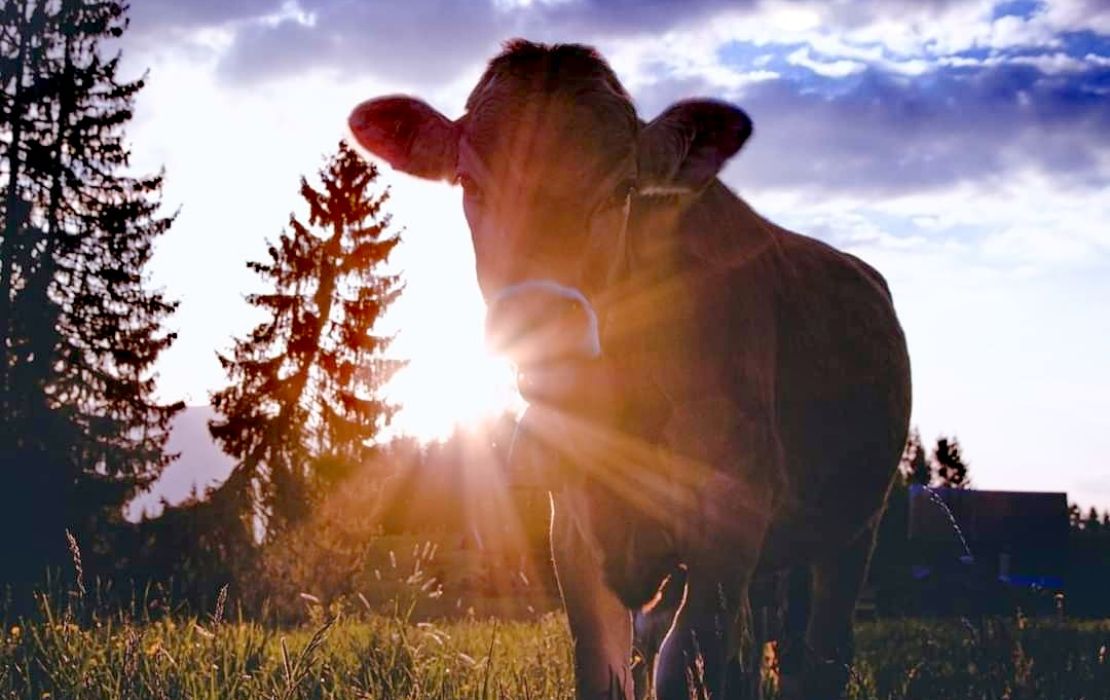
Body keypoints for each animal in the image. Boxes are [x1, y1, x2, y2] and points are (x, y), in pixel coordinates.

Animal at [348, 39, 911, 700]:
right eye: (468, 181)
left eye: (623, 189)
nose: (538, 319)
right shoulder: (573, 531)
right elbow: (606, 667)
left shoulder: (730, 517)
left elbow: (679, 663)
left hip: (854, 529)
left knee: (822, 651)